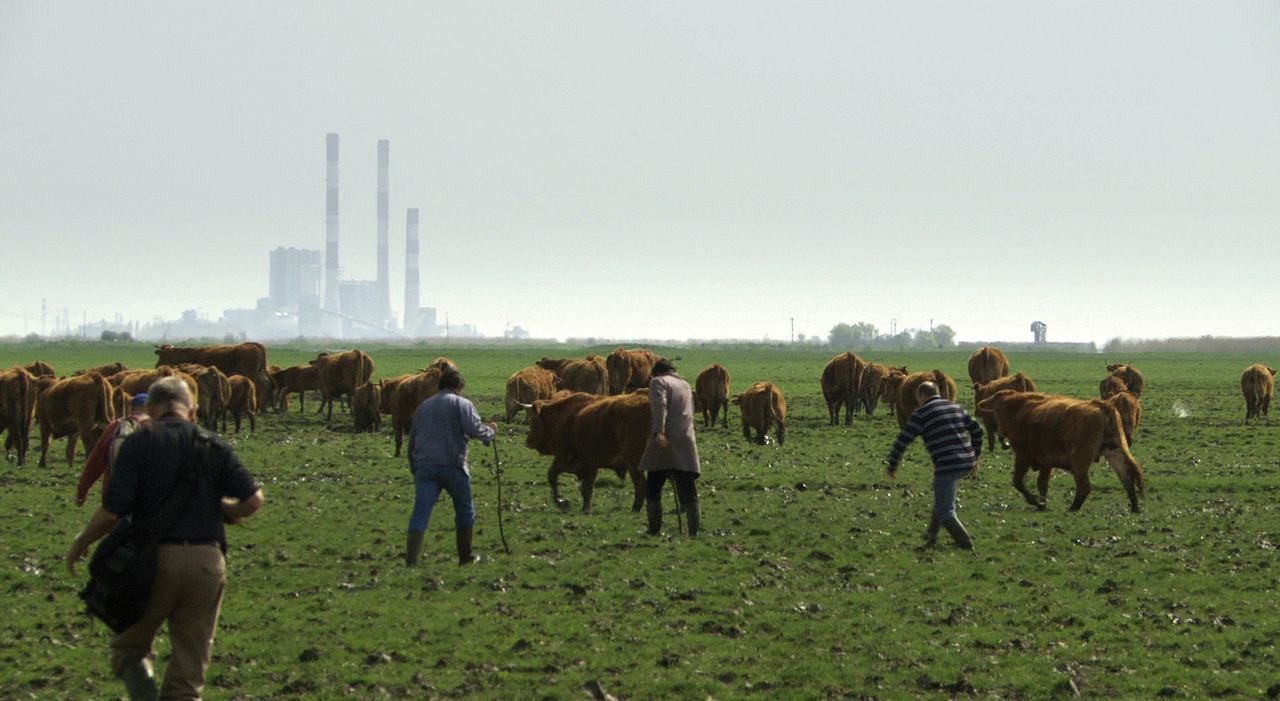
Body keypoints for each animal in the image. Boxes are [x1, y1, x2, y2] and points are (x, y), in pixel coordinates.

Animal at [524, 391, 655, 511]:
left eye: (533, 420)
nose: (528, 441)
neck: (564, 415)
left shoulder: (564, 458)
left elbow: (552, 475)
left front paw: (560, 501)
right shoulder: (590, 464)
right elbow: (587, 489)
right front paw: (586, 508)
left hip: (634, 464)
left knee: (640, 486)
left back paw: (635, 508)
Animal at [972, 391, 1146, 511]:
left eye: (997, 412)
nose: (1000, 432)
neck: (1020, 409)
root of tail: (1101, 406)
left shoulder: (1023, 456)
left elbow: (1018, 482)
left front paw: (1036, 501)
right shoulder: (1046, 462)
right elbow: (1042, 484)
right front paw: (1042, 503)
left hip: (1080, 460)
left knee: (1084, 486)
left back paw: (1073, 508)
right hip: (1116, 452)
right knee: (1127, 476)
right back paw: (1135, 507)